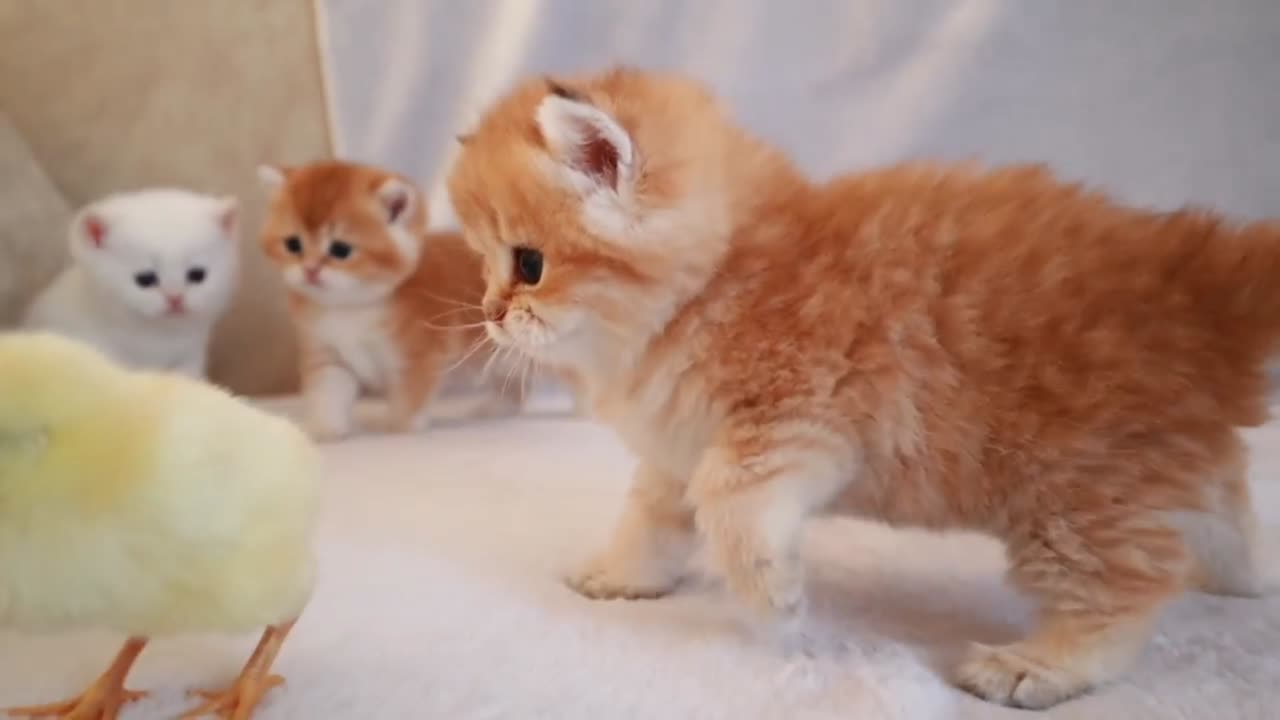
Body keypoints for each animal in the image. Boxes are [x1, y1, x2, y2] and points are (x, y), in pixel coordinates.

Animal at [257, 160, 522, 440]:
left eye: (340, 249)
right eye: (293, 244)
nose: (310, 270)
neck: (353, 307)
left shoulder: (419, 358)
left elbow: (410, 397)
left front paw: (399, 427)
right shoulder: (329, 355)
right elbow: (329, 394)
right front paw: (327, 430)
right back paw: (499, 407)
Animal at [445, 67, 1274, 707]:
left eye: (529, 265)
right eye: (485, 265)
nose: (489, 312)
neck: (716, 282)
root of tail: (1198, 276)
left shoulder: (795, 421)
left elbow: (731, 508)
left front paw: (778, 604)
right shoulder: (680, 445)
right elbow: (652, 522)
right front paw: (623, 576)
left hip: (1075, 498)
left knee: (1124, 597)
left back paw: (1036, 664)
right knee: (1222, 516)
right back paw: (1242, 581)